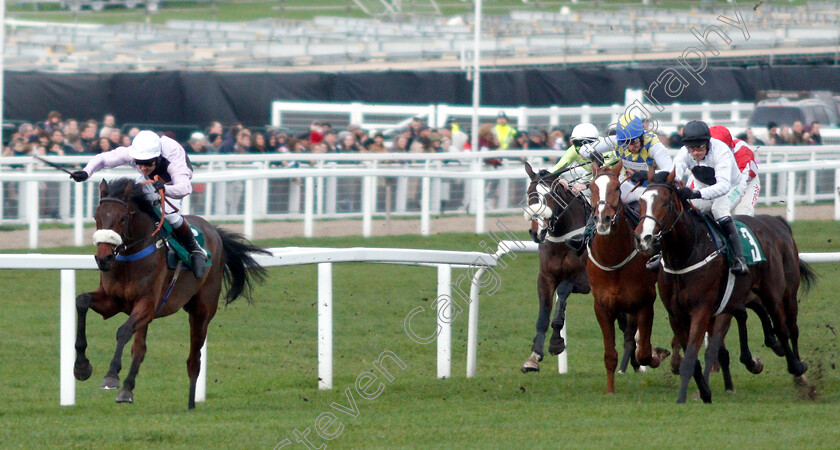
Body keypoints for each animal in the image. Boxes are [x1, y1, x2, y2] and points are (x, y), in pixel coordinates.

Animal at [75, 178, 268, 410]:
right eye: (97, 217)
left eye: (122, 218)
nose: (103, 259)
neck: (130, 259)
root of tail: (214, 231)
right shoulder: (113, 301)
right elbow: (81, 301)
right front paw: (81, 367)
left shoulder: (147, 304)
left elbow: (122, 331)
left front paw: (111, 375)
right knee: (140, 348)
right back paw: (127, 390)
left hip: (202, 311)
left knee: (194, 359)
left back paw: (191, 404)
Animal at [584, 163, 668, 394]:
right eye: (592, 187)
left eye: (616, 188)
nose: (603, 219)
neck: (614, 259)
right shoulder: (602, 306)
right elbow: (610, 355)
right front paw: (610, 391)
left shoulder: (645, 303)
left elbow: (646, 352)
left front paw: (657, 355)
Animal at [632, 170, 816, 404]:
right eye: (641, 201)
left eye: (665, 202)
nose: (643, 238)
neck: (686, 254)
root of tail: (775, 221)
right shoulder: (676, 314)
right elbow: (694, 357)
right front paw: (704, 393)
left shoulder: (701, 309)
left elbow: (692, 354)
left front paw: (686, 397)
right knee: (761, 318)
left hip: (780, 293)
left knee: (787, 328)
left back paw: (799, 372)